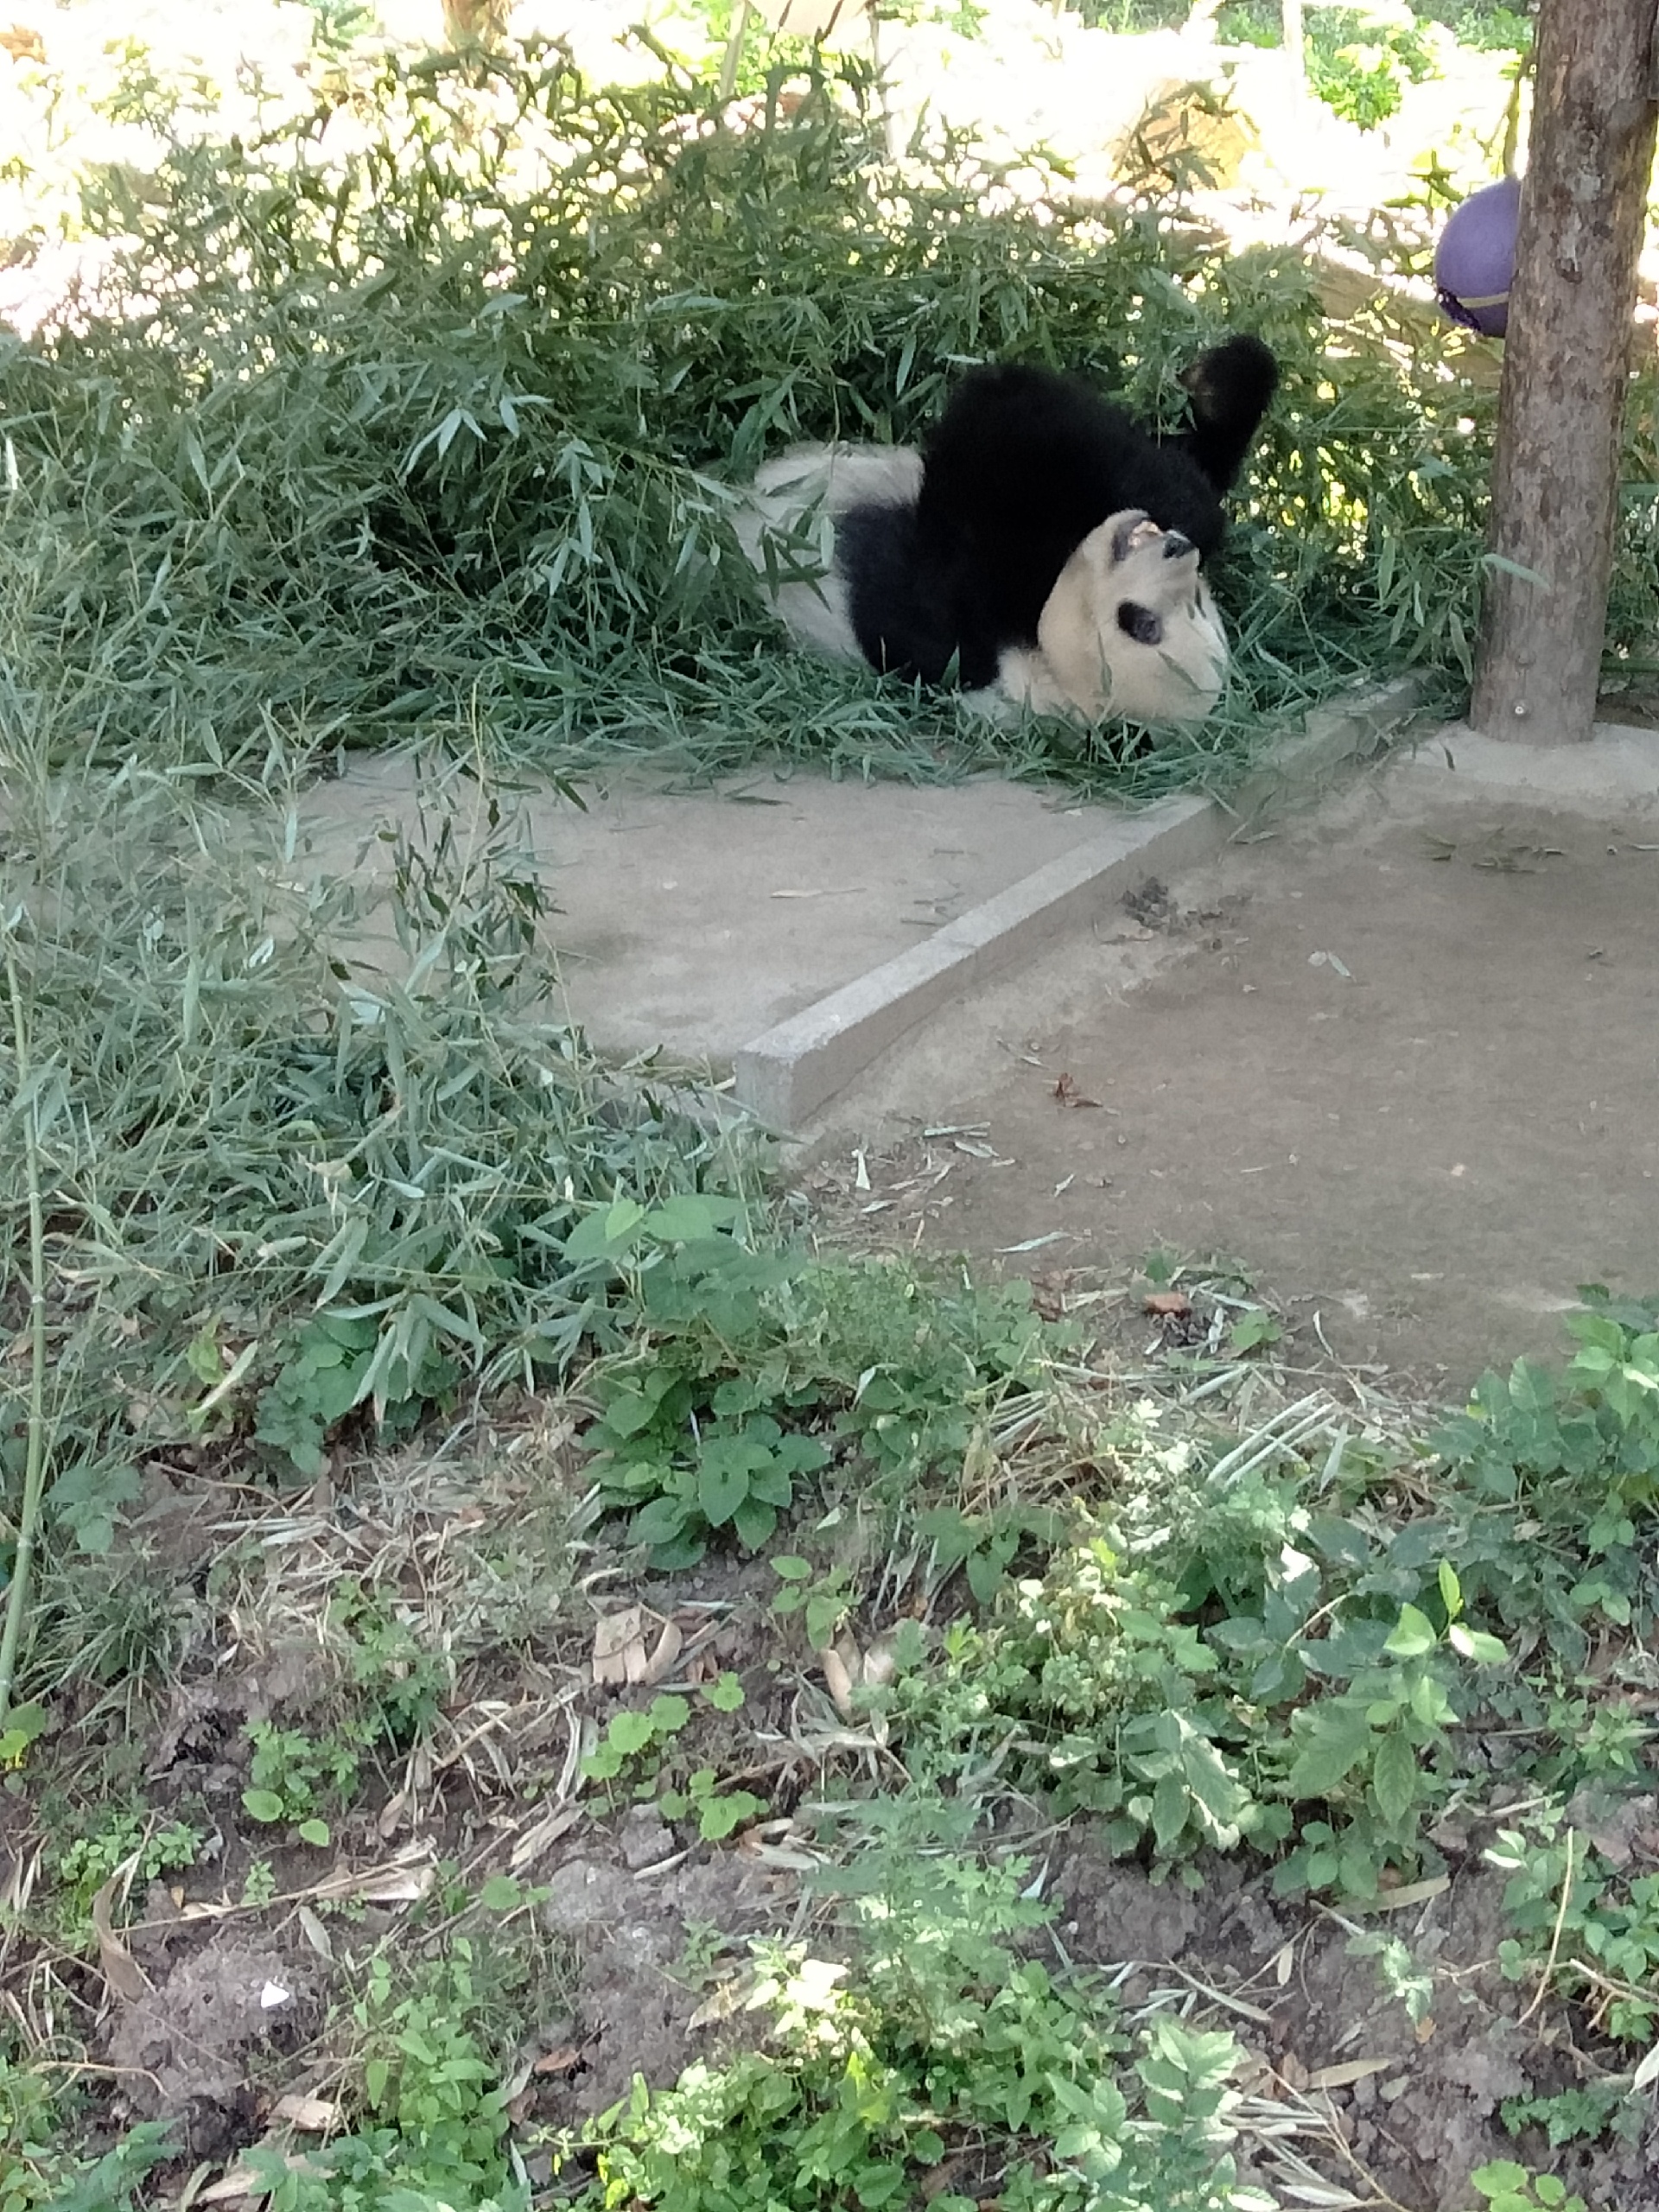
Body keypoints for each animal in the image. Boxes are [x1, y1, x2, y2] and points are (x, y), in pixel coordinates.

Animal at [739, 332, 1282, 725]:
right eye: (1198, 605)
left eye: (1142, 625)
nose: (1176, 550)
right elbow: (1192, 469)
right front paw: (1229, 376)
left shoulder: (964, 618)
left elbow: (1012, 430)